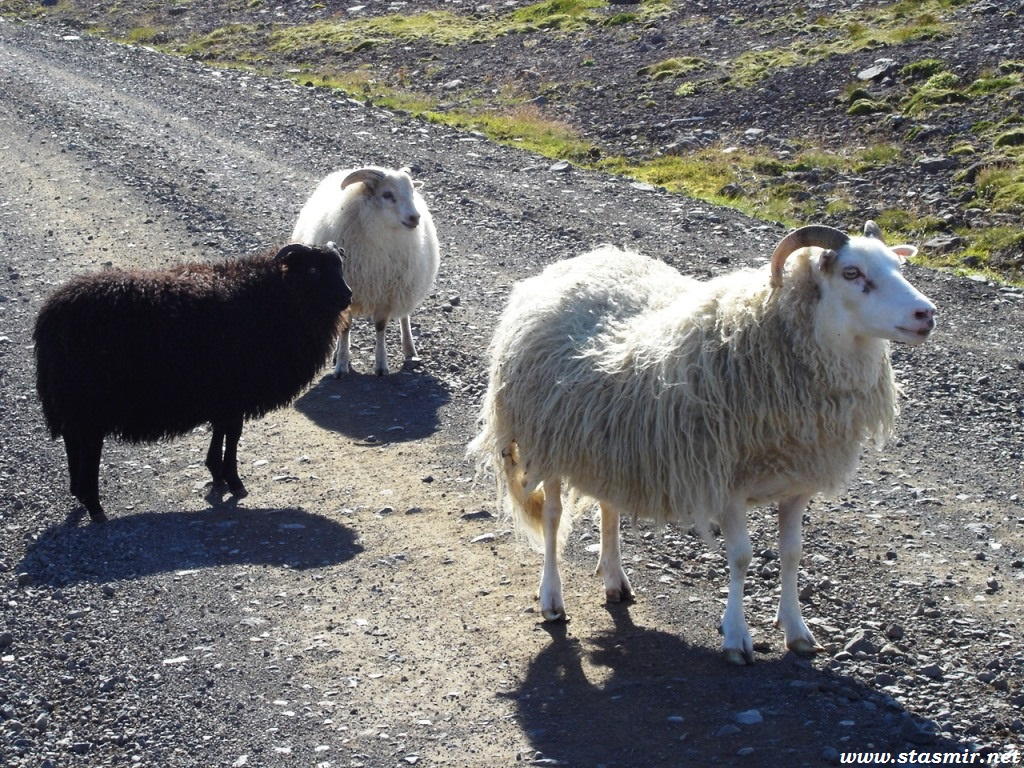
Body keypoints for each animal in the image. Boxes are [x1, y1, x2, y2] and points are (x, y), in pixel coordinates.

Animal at [33, 242, 352, 523]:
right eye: (313, 270)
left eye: (340, 265)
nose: (347, 296)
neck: (276, 296)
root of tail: (51, 314)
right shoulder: (236, 392)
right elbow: (232, 435)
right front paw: (234, 481)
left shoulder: (226, 395)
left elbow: (221, 432)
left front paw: (217, 474)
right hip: (88, 400)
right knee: (88, 447)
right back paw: (94, 506)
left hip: (73, 400)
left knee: (72, 440)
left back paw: (78, 492)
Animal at [291, 165, 440, 377]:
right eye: (387, 194)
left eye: (412, 192)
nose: (414, 218)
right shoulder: (346, 292)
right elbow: (345, 328)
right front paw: (341, 364)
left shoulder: (388, 292)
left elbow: (380, 326)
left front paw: (381, 365)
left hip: (407, 285)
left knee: (404, 316)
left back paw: (409, 349)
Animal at [468, 221, 936, 665]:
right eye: (852, 273)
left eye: (898, 267)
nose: (926, 314)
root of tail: (580, 262)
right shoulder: (726, 482)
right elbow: (743, 557)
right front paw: (736, 637)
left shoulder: (797, 482)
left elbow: (792, 554)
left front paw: (797, 630)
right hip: (545, 438)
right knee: (552, 519)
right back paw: (552, 598)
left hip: (608, 441)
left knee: (609, 506)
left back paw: (616, 579)